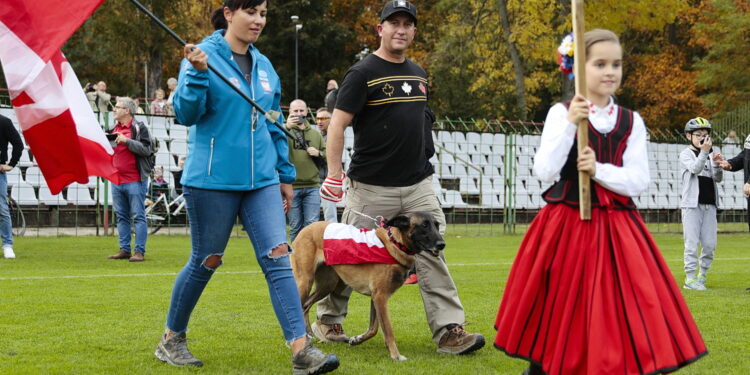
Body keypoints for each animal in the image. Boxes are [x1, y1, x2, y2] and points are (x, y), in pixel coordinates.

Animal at [292, 212, 446, 362]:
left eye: (437, 225)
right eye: (424, 225)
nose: (442, 244)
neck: (395, 244)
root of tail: (306, 228)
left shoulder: (376, 298)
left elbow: (374, 328)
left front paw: (357, 339)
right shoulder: (380, 297)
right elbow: (388, 330)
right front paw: (396, 355)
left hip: (327, 285)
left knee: (305, 306)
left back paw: (308, 335)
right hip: (305, 282)